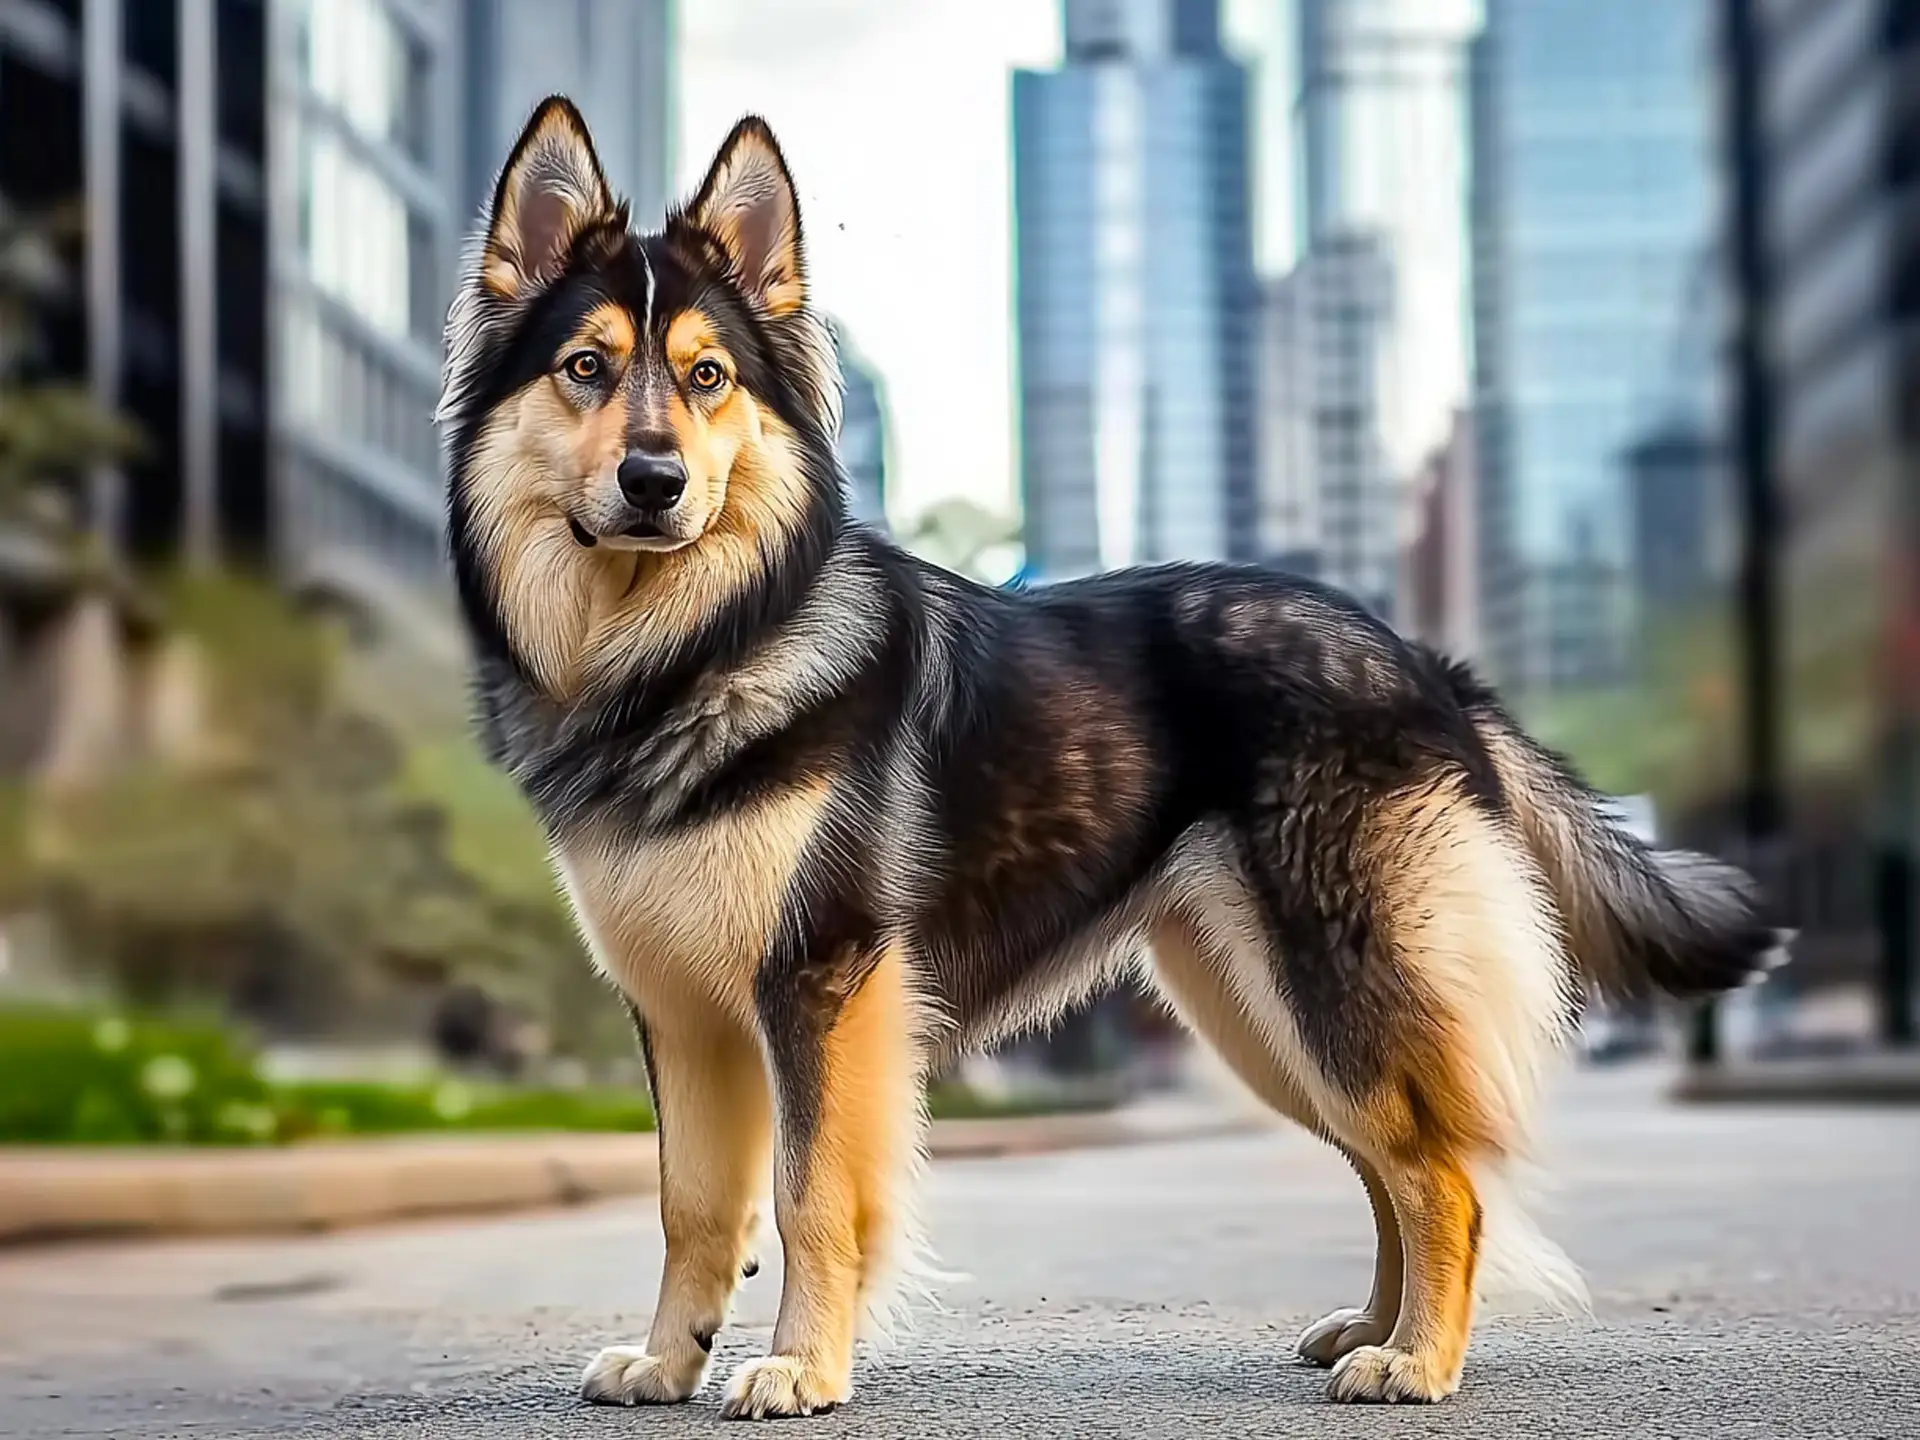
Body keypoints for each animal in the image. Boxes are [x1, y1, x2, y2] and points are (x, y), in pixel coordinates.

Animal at [441, 101, 1774, 1420]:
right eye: (586, 368)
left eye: (707, 377)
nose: (654, 481)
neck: (691, 647)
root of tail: (1422, 660)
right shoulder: (682, 1012)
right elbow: (693, 1204)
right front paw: (669, 1361)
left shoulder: (822, 981)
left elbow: (809, 1194)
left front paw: (803, 1368)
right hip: (1258, 1013)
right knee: (1395, 1161)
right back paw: (1375, 1328)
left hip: (1326, 984)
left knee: (1443, 1174)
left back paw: (1418, 1362)